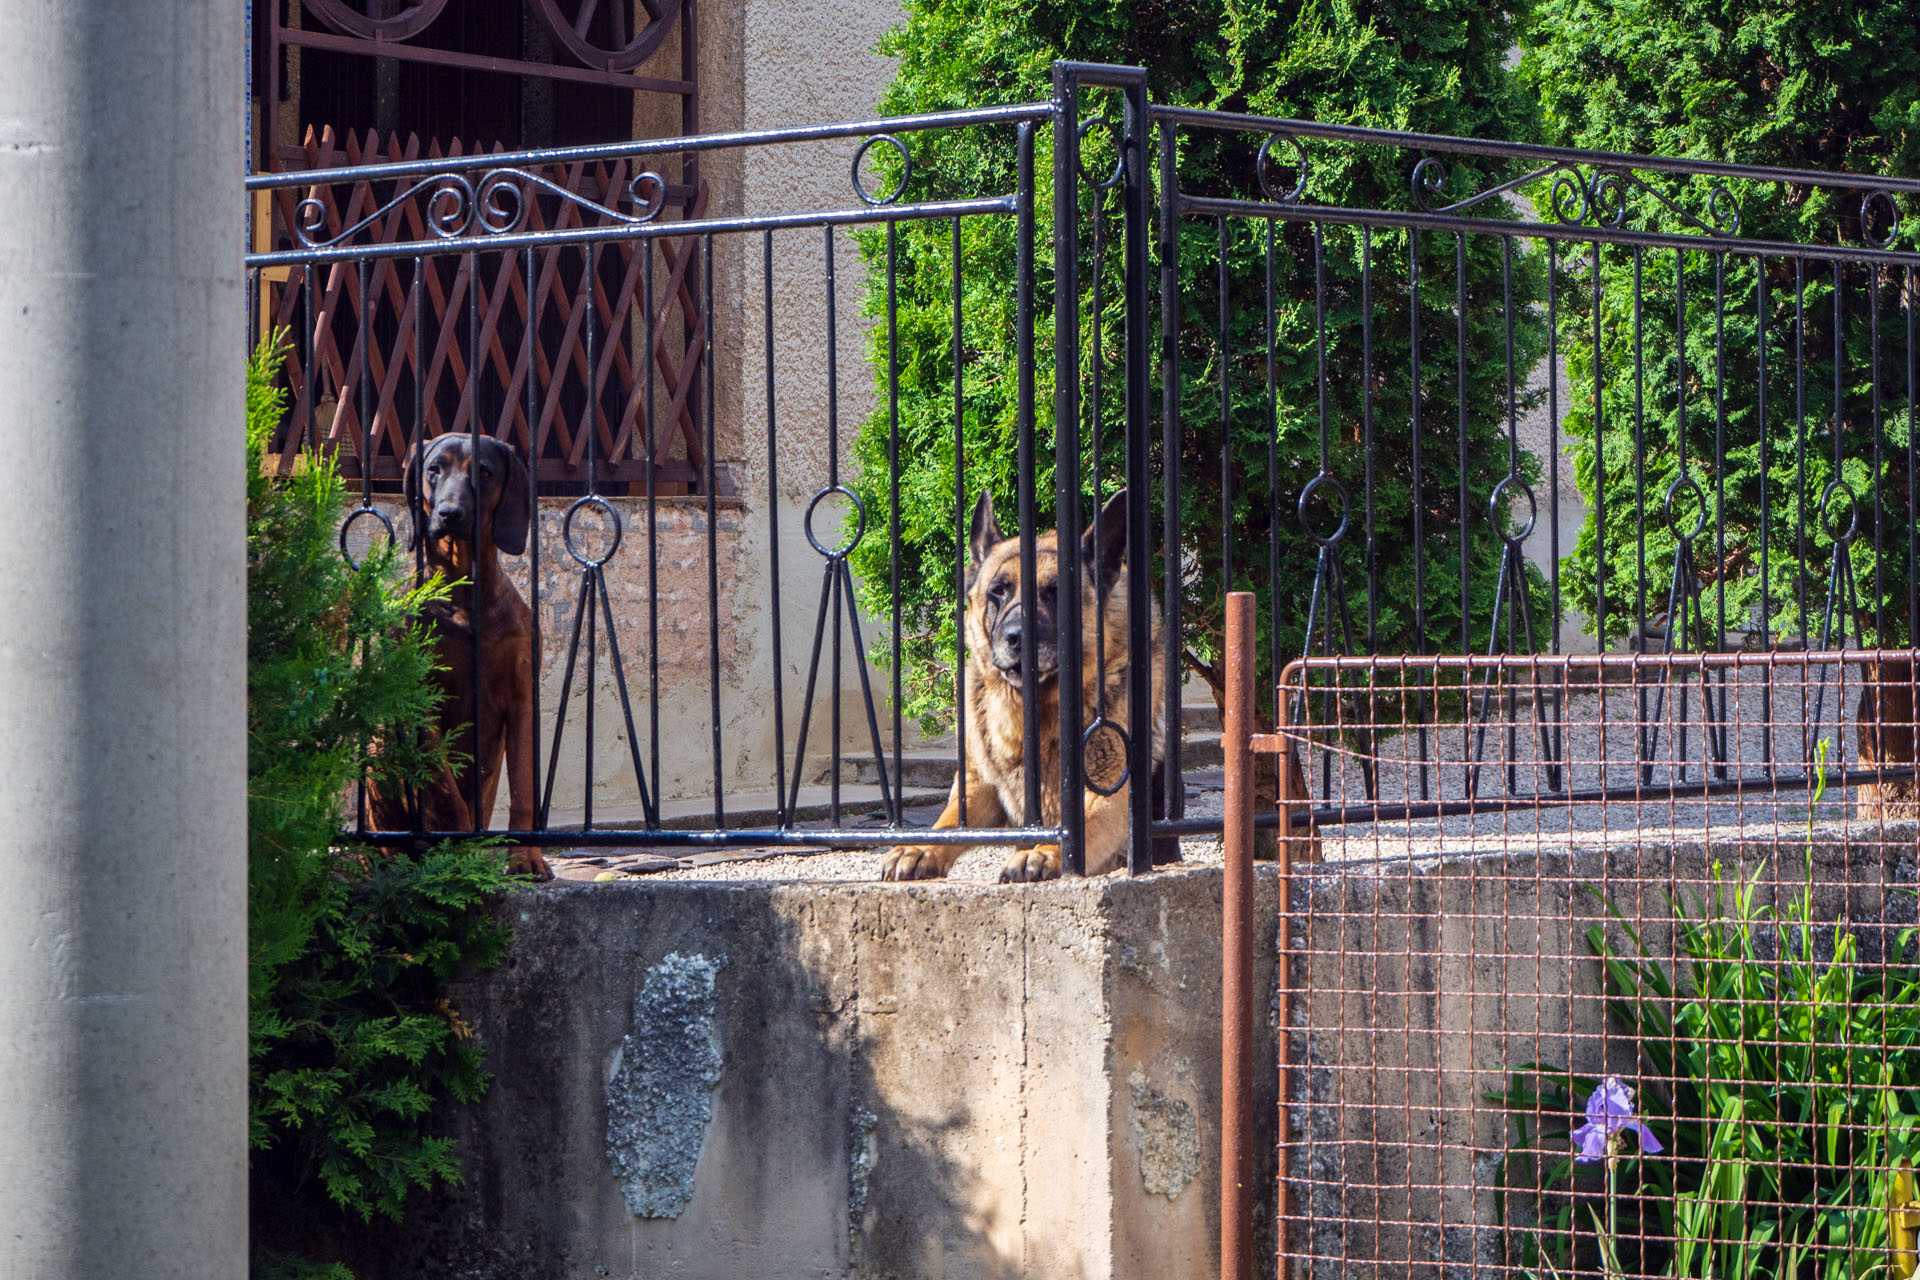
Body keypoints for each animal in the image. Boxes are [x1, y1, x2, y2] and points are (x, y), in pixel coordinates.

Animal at [366, 433, 549, 882]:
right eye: (434, 470)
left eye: (483, 471)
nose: (450, 513)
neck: (465, 596)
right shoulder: (422, 705)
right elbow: (447, 795)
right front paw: (466, 857)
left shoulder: (522, 700)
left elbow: (524, 788)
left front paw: (526, 858)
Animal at [879, 485, 1167, 886]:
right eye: (998, 592)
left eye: (1056, 593)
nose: (1018, 638)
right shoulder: (978, 787)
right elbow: (948, 824)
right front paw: (917, 847)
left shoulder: (1112, 790)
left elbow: (1080, 826)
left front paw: (1044, 853)